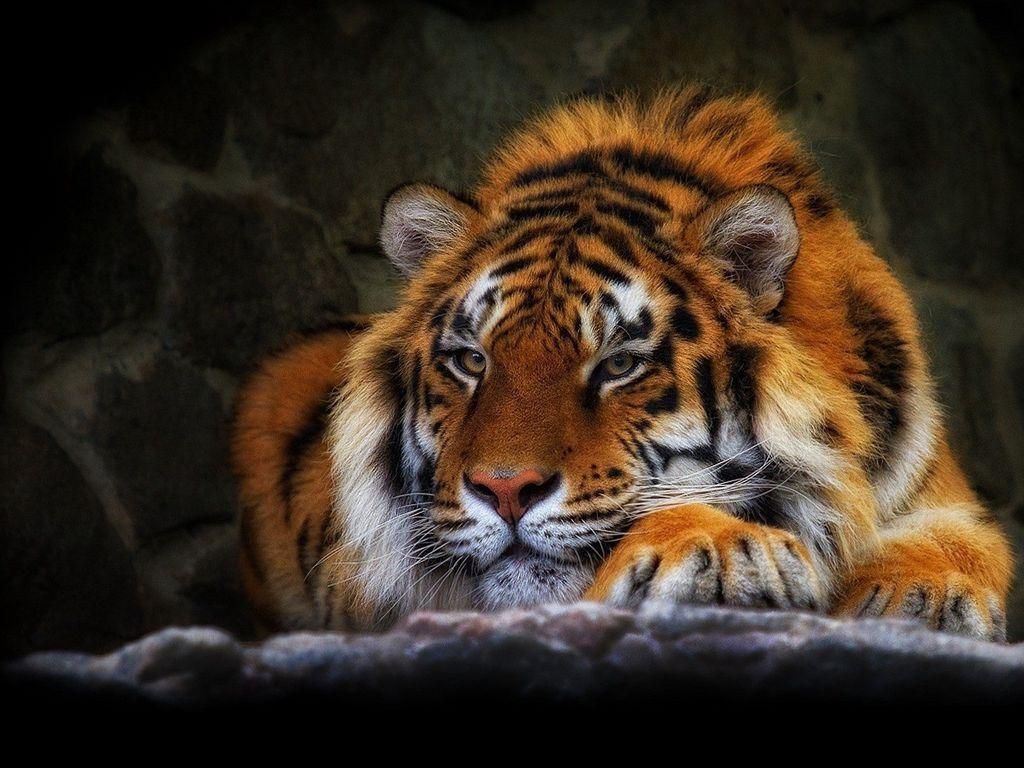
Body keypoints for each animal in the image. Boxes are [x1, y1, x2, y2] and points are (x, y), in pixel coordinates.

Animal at [233, 85, 1013, 641]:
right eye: (471, 361)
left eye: (619, 365)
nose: (504, 490)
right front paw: (722, 548)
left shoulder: (938, 494)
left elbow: (962, 545)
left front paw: (920, 594)